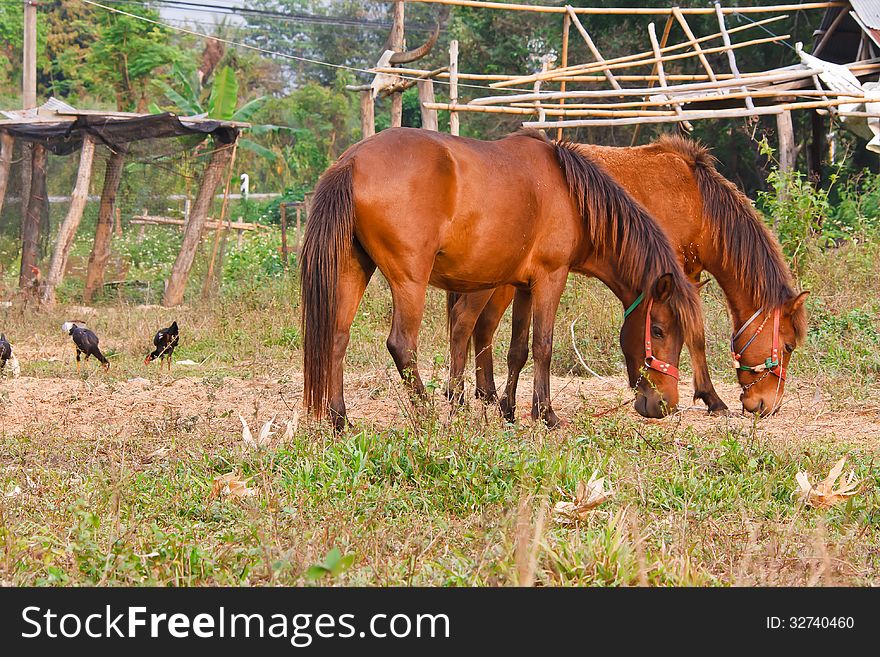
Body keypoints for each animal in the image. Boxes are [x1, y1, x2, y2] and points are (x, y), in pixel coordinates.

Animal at [300, 128, 700, 428]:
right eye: (658, 331)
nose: (665, 405)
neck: (569, 194)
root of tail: (352, 161)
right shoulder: (551, 278)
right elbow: (543, 346)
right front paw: (546, 414)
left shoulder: (524, 287)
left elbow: (517, 350)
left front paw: (509, 410)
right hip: (410, 280)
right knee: (402, 345)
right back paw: (427, 413)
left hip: (353, 269)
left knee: (337, 337)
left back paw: (340, 420)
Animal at [450, 136, 808, 418]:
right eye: (788, 346)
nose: (767, 406)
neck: (697, 202)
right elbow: (697, 336)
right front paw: (712, 399)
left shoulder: (686, 281)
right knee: (471, 323)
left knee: (481, 327)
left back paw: (486, 394)